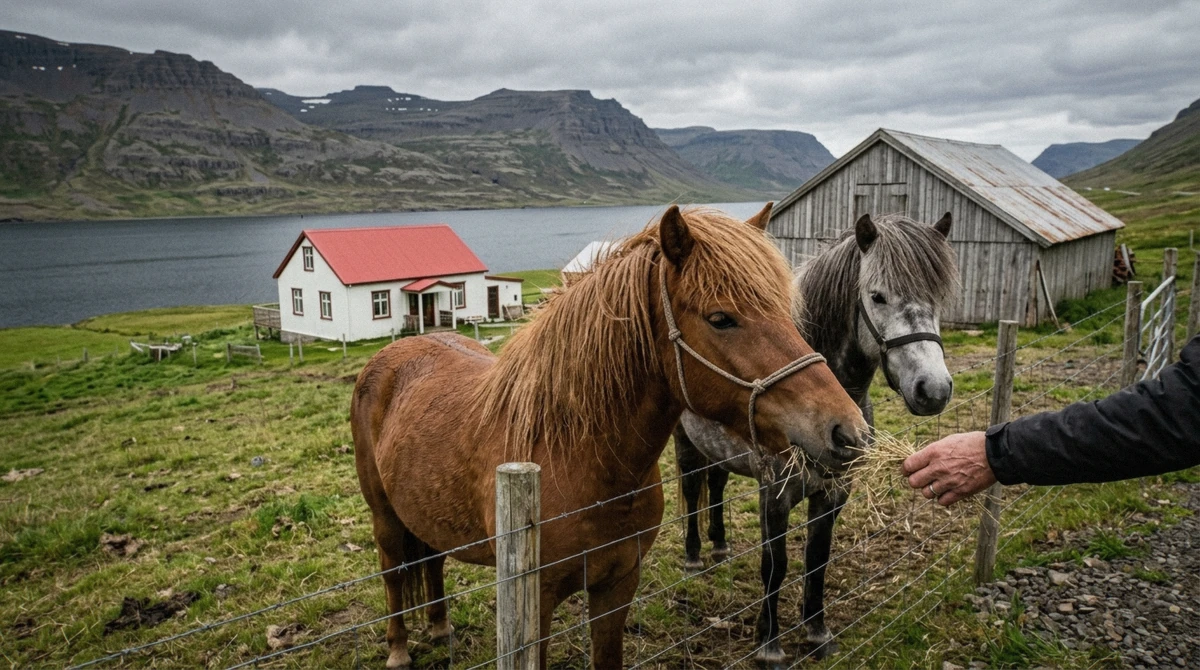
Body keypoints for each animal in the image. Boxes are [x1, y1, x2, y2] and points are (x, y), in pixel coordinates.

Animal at [351, 204, 870, 669]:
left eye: (787, 311)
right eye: (721, 318)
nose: (848, 431)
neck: (577, 458)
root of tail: (395, 352)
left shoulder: (617, 587)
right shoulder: (535, 604)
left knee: (432, 561)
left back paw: (440, 627)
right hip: (384, 517)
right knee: (393, 571)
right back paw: (398, 649)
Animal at [673, 212, 959, 666]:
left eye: (938, 297)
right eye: (877, 296)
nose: (932, 390)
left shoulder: (834, 492)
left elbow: (817, 558)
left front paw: (816, 631)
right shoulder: (774, 495)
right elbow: (775, 566)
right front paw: (769, 645)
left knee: (715, 484)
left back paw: (719, 547)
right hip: (684, 442)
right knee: (690, 486)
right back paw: (694, 556)